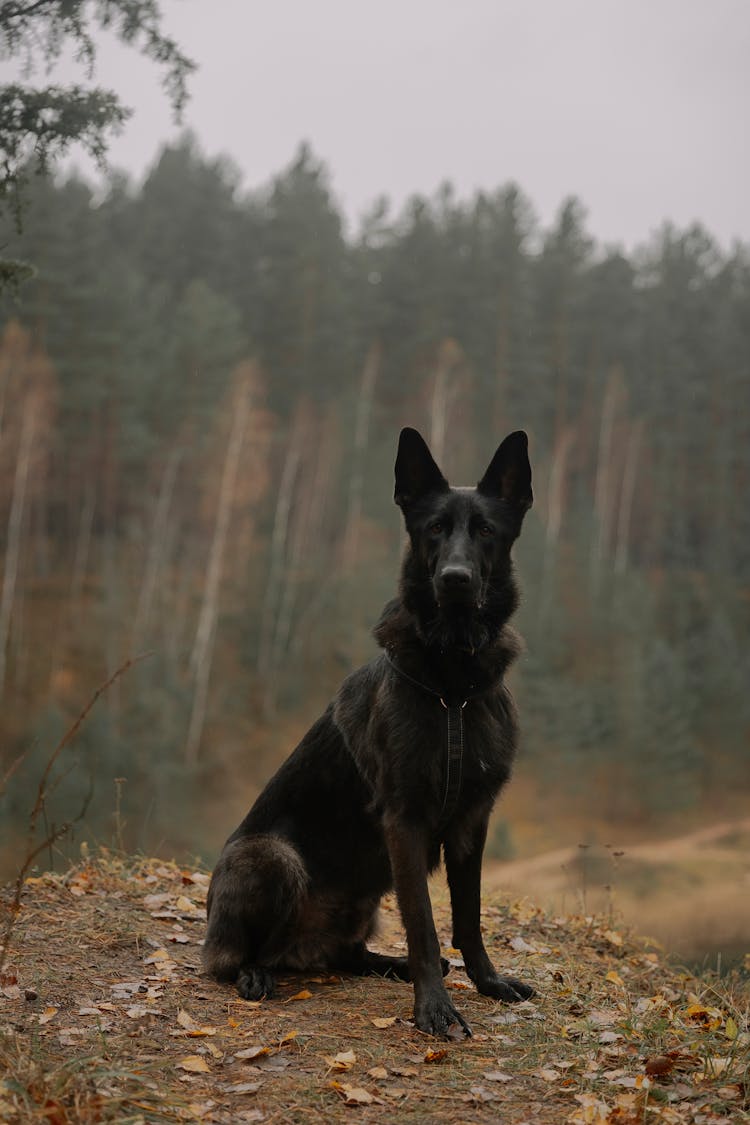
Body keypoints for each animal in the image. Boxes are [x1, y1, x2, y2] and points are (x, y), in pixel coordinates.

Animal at [202, 427, 537, 1035]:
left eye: (486, 531)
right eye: (434, 528)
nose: (455, 580)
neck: (453, 684)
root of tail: (299, 953)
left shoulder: (472, 822)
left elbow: (469, 918)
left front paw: (488, 983)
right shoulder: (405, 822)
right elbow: (425, 924)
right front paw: (434, 1008)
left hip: (365, 895)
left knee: (347, 954)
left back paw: (388, 965)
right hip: (272, 858)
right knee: (235, 959)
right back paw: (255, 973)